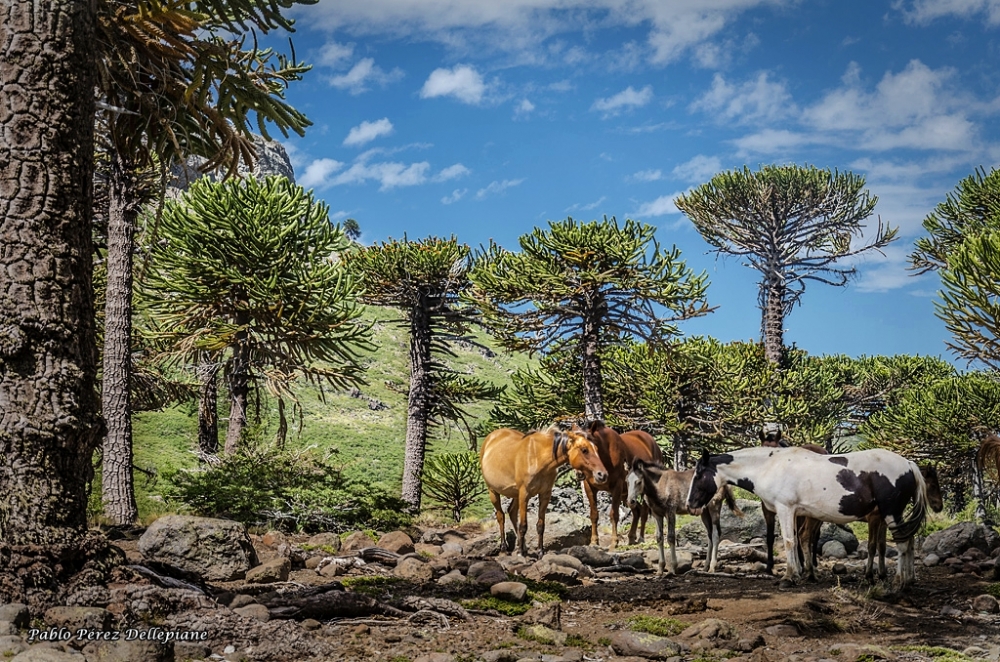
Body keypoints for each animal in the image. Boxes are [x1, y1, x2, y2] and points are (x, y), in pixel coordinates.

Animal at [478, 426, 604, 560]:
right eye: (584, 450)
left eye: (596, 449)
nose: (602, 474)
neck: (537, 458)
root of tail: (490, 438)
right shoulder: (524, 494)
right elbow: (523, 525)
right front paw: (520, 553)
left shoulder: (545, 495)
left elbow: (540, 526)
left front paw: (540, 552)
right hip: (493, 491)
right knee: (501, 516)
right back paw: (504, 548)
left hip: (515, 494)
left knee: (511, 512)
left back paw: (523, 546)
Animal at [688, 448, 928, 588]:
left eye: (698, 475)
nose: (690, 504)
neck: (770, 466)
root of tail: (909, 465)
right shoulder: (798, 513)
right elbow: (798, 541)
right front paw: (800, 573)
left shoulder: (785, 509)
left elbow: (788, 541)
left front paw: (788, 577)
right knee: (908, 541)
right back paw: (908, 579)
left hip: (891, 513)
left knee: (903, 544)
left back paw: (898, 581)